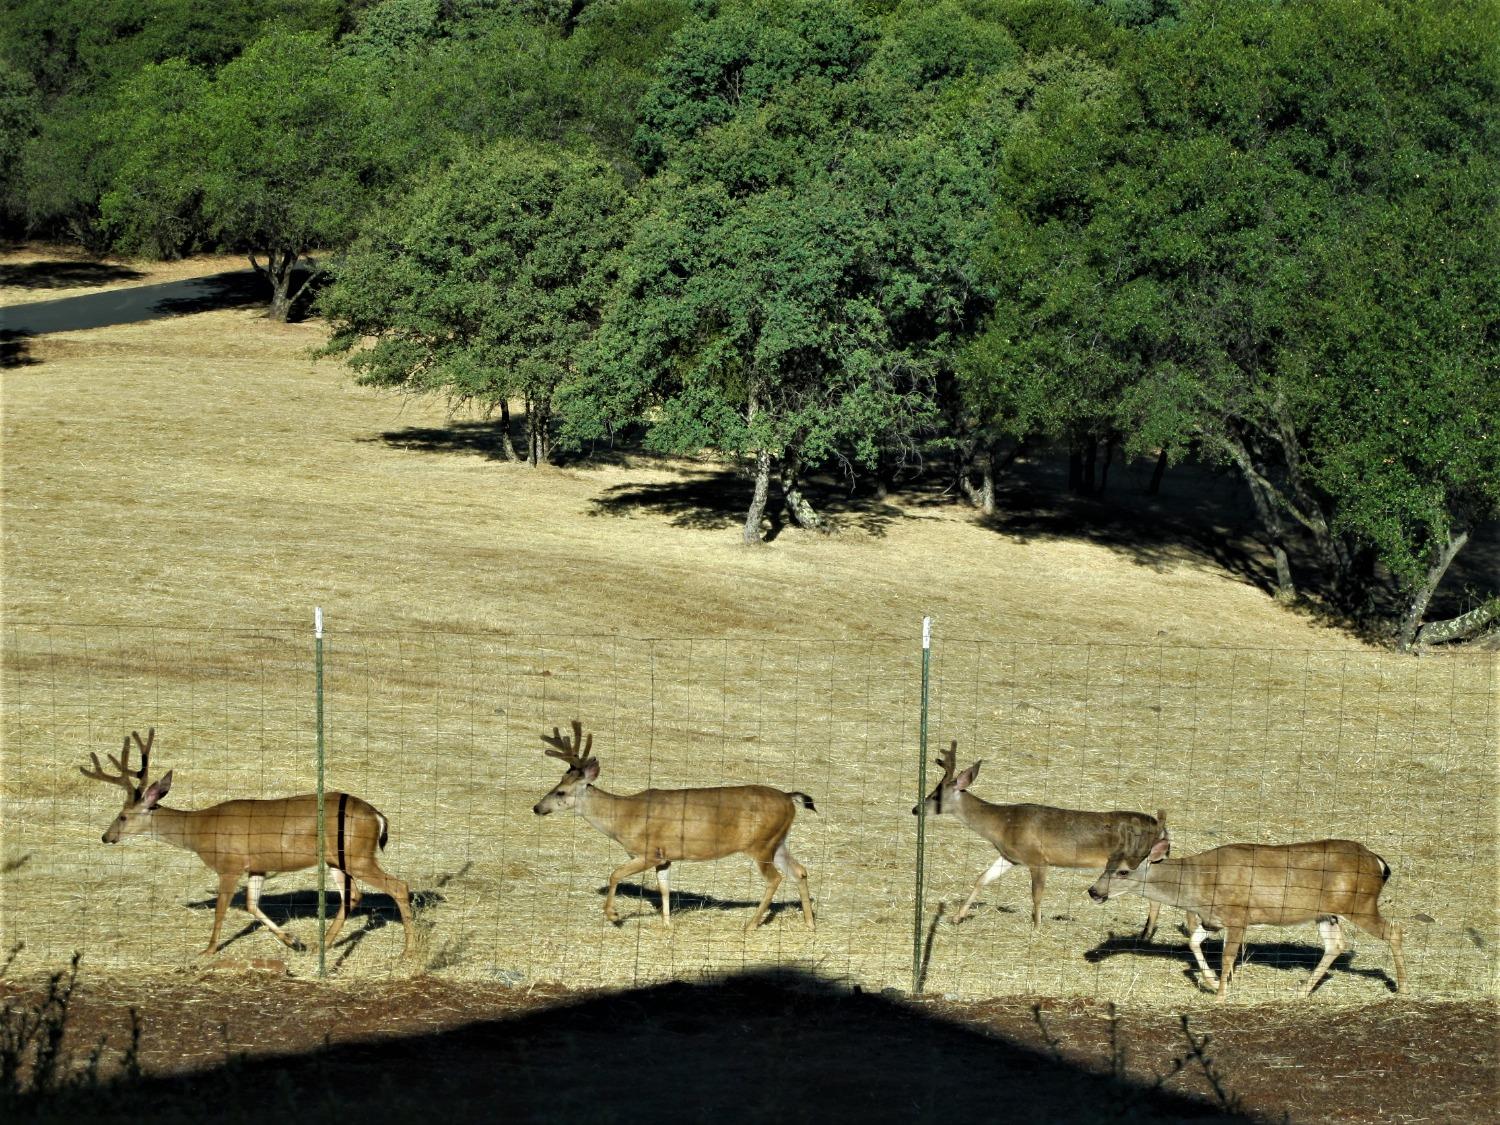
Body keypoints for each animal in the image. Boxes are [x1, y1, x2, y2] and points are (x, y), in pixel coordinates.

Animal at [79, 732, 414, 960]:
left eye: (122, 815)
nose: (106, 837)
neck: (200, 830)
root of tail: (378, 815)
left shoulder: (230, 864)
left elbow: (221, 910)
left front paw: (207, 951)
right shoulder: (257, 867)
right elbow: (252, 905)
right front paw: (293, 941)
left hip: (357, 855)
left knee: (398, 885)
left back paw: (406, 952)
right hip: (336, 860)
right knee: (353, 895)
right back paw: (321, 946)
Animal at [531, 723, 822, 936]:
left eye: (560, 791)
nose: (536, 807)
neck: (623, 817)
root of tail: (789, 798)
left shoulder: (649, 851)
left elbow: (615, 875)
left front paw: (613, 915)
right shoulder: (665, 857)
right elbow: (664, 888)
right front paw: (667, 925)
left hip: (761, 844)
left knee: (775, 878)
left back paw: (750, 925)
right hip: (778, 842)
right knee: (799, 871)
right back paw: (810, 924)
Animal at [906, 744, 1164, 936]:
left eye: (935, 795)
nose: (915, 809)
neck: (1002, 825)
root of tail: (1160, 827)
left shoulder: (1037, 858)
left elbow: (1036, 894)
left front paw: (1037, 926)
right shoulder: (1009, 857)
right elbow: (982, 879)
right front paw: (956, 917)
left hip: (1134, 859)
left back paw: (1145, 934)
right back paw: (1146, 933)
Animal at [1092, 822, 1404, 1002]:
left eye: (1123, 871)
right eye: (1106, 865)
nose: (1094, 891)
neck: (1199, 883)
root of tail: (1379, 863)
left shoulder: (1239, 915)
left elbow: (1228, 956)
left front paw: (1220, 995)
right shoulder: (1213, 919)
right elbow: (1193, 941)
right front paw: (1212, 981)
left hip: (1360, 903)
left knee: (1394, 931)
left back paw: (1402, 988)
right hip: (1327, 913)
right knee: (1336, 944)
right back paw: (1301, 991)